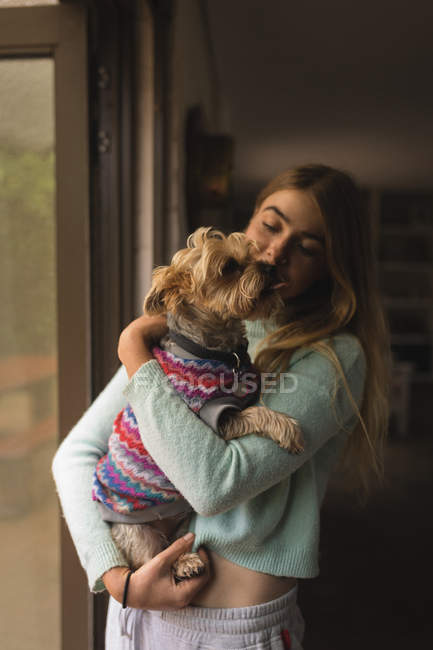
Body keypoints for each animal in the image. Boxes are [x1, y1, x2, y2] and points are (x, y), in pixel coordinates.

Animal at [93, 227, 304, 576]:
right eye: (229, 267)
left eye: (252, 254)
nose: (270, 267)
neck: (218, 353)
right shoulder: (216, 418)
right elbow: (257, 412)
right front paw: (286, 427)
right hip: (135, 531)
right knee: (149, 558)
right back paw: (184, 563)